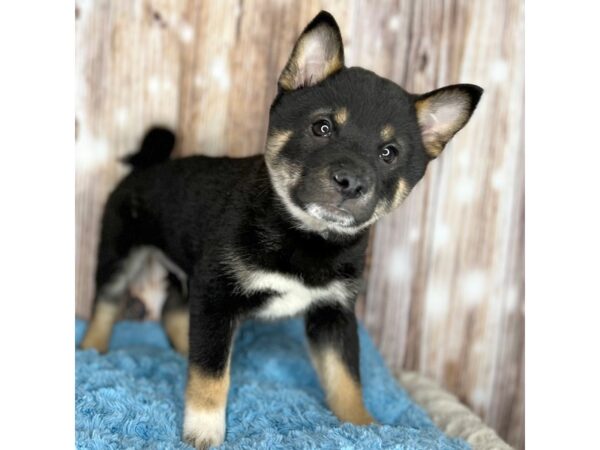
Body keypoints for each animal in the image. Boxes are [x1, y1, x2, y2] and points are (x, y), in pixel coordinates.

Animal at [79, 10, 482, 450]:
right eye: (322, 128)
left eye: (388, 154)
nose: (351, 182)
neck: (305, 235)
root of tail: (149, 164)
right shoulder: (217, 293)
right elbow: (210, 375)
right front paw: (203, 431)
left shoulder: (333, 313)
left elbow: (346, 376)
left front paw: (363, 427)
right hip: (121, 253)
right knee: (107, 304)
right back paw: (93, 350)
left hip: (187, 273)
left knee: (174, 311)